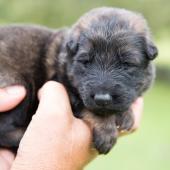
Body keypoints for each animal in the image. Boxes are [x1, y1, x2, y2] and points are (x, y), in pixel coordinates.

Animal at [0, 7, 157, 154]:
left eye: (126, 64)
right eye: (85, 61)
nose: (102, 99)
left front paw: (126, 114)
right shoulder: (68, 89)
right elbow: (88, 108)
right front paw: (106, 130)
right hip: (21, 84)